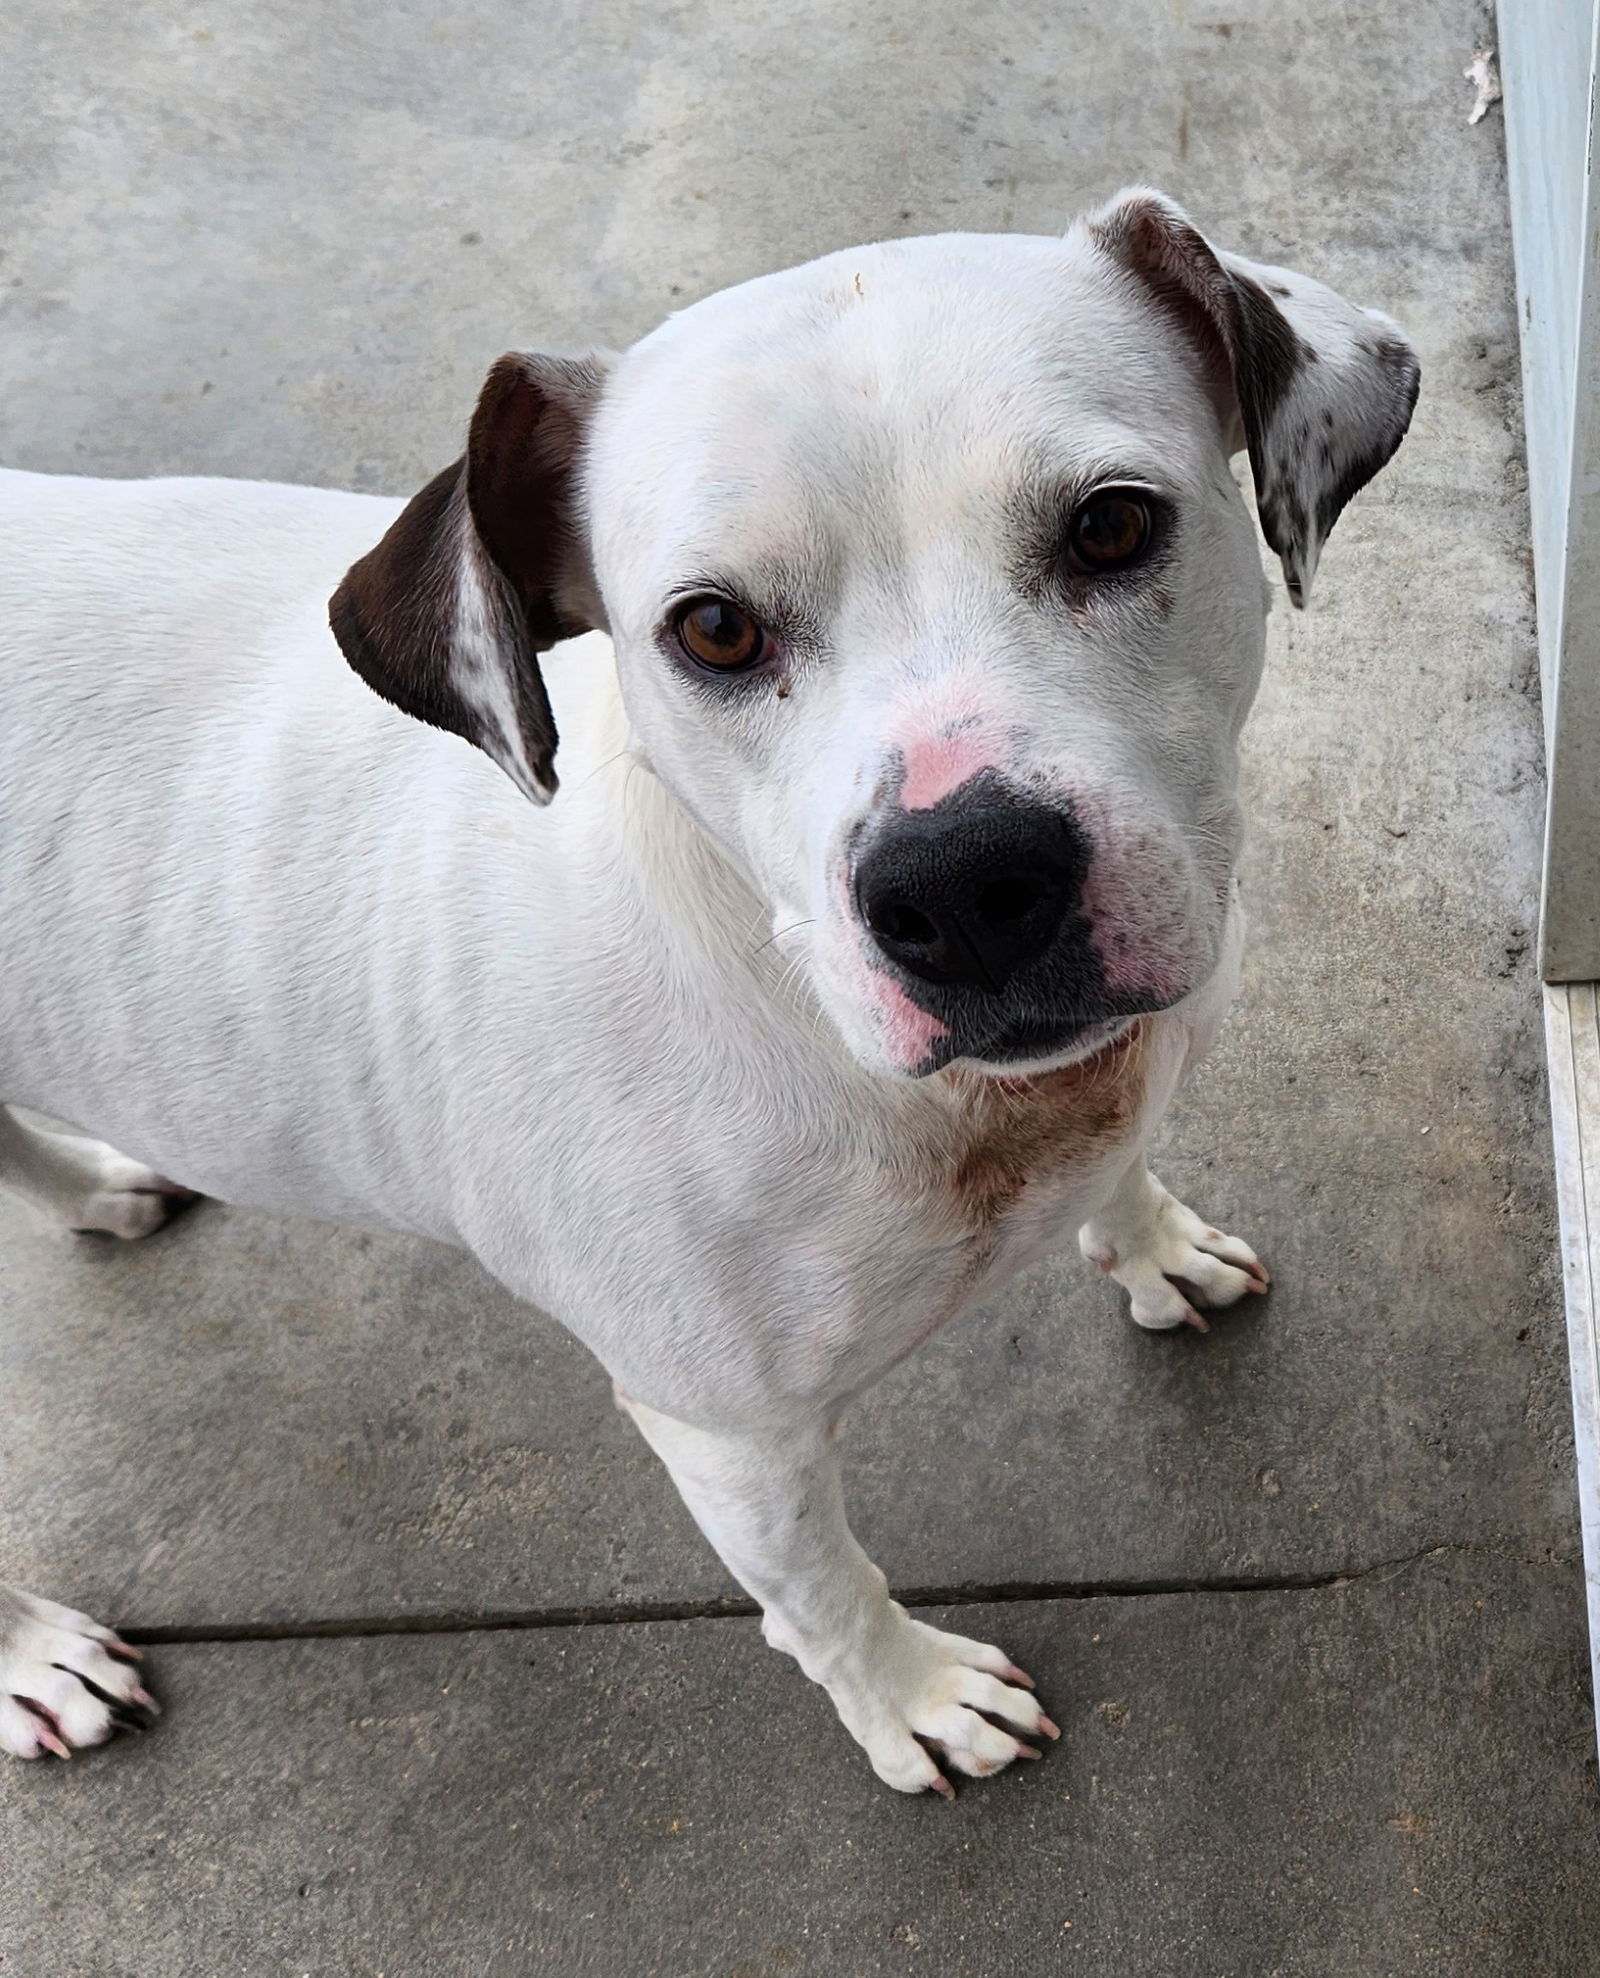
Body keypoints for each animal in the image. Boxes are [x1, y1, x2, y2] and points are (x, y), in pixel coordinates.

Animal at [0, 188, 1416, 1796]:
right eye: (715, 627)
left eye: (1113, 522)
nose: (963, 883)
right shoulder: (727, 1432)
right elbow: (820, 1590)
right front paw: (912, 1697)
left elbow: (1120, 1172)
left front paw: (1154, 1244)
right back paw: (34, 1656)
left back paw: (93, 1188)